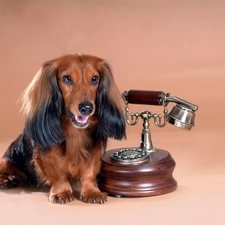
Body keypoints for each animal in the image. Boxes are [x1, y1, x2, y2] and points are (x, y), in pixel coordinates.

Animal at [0, 54, 125, 204]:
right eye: (67, 78)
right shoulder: (44, 155)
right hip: (7, 160)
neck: (75, 132)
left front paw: (92, 191)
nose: (87, 108)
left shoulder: (95, 150)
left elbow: (89, 172)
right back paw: (7, 179)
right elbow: (58, 174)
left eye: (95, 79)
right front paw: (62, 192)